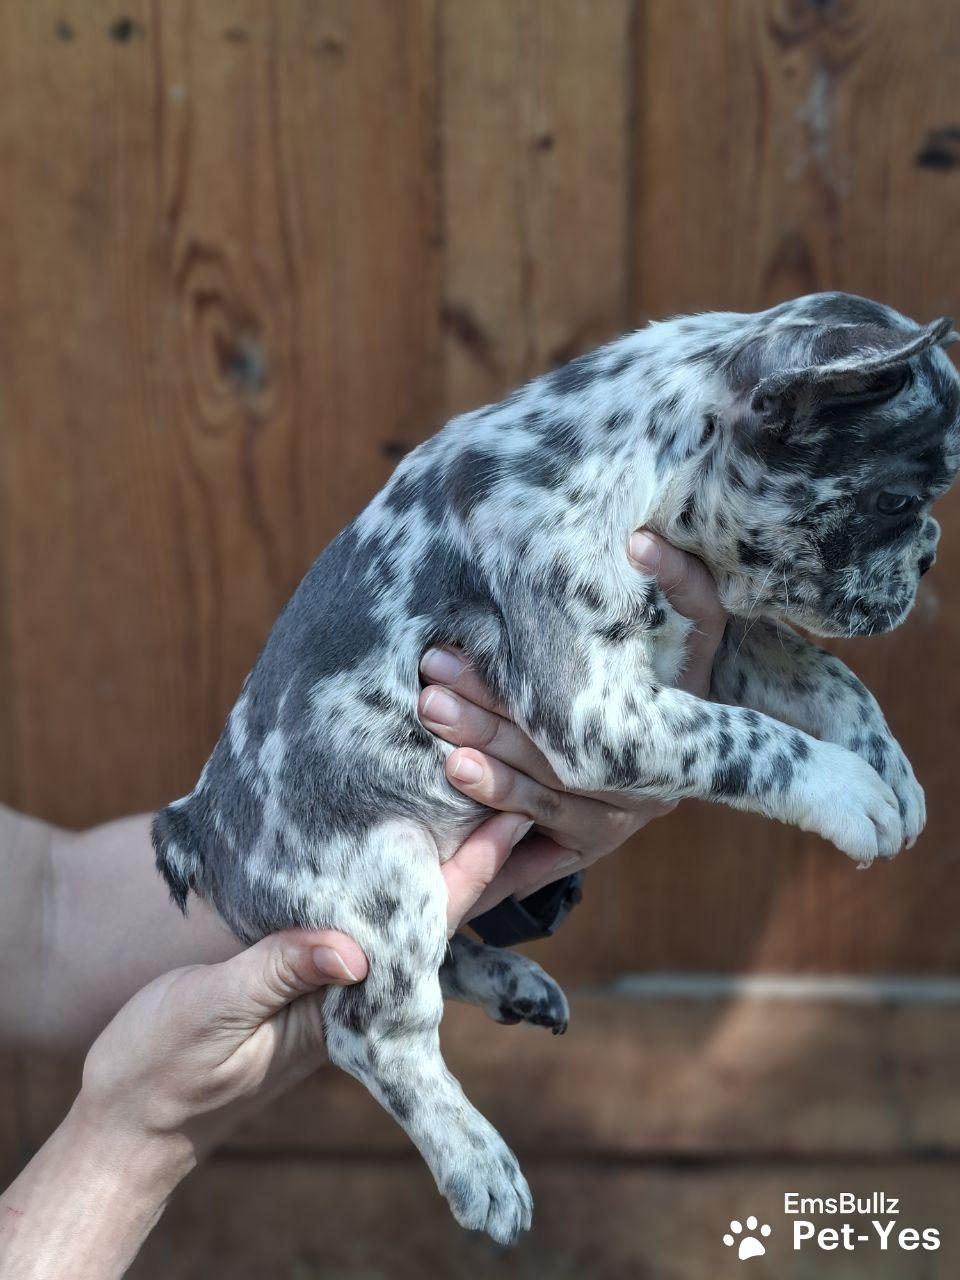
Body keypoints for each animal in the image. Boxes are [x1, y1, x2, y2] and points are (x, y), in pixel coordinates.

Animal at [154, 291, 960, 1243]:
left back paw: (512, 982)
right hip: (383, 878)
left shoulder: (722, 643)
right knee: (375, 1029)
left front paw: (889, 767)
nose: (931, 550)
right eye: (898, 497)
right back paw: (476, 1160)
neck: (655, 455)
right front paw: (848, 790)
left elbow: (827, 675)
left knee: (438, 962)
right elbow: (748, 740)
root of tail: (198, 830)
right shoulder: (597, 710)